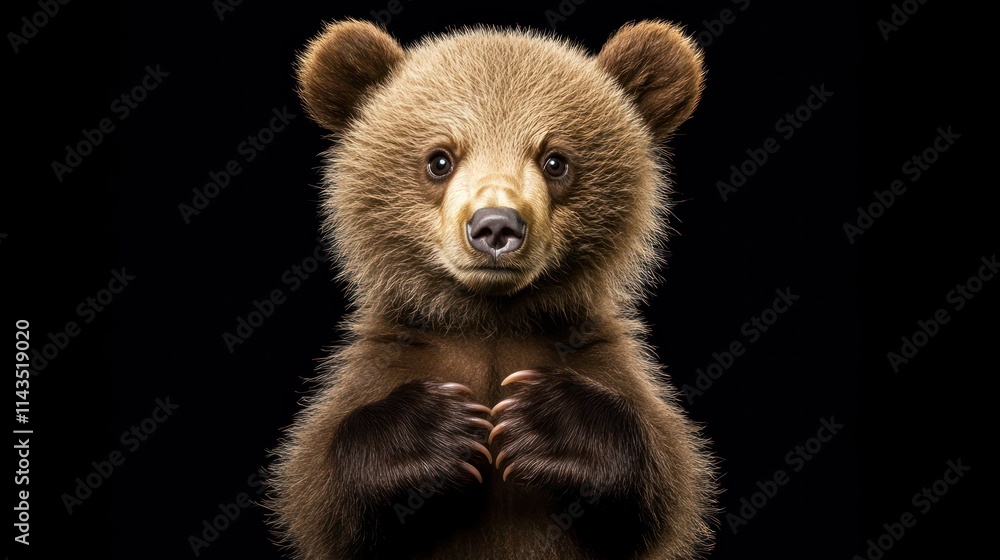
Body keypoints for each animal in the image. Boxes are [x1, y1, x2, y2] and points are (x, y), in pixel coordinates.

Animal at [269, 18, 715, 560]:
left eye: (555, 161)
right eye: (439, 160)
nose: (496, 226)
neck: (490, 319)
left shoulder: (601, 358)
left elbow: (671, 484)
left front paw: (545, 419)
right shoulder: (389, 357)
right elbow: (313, 489)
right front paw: (436, 427)